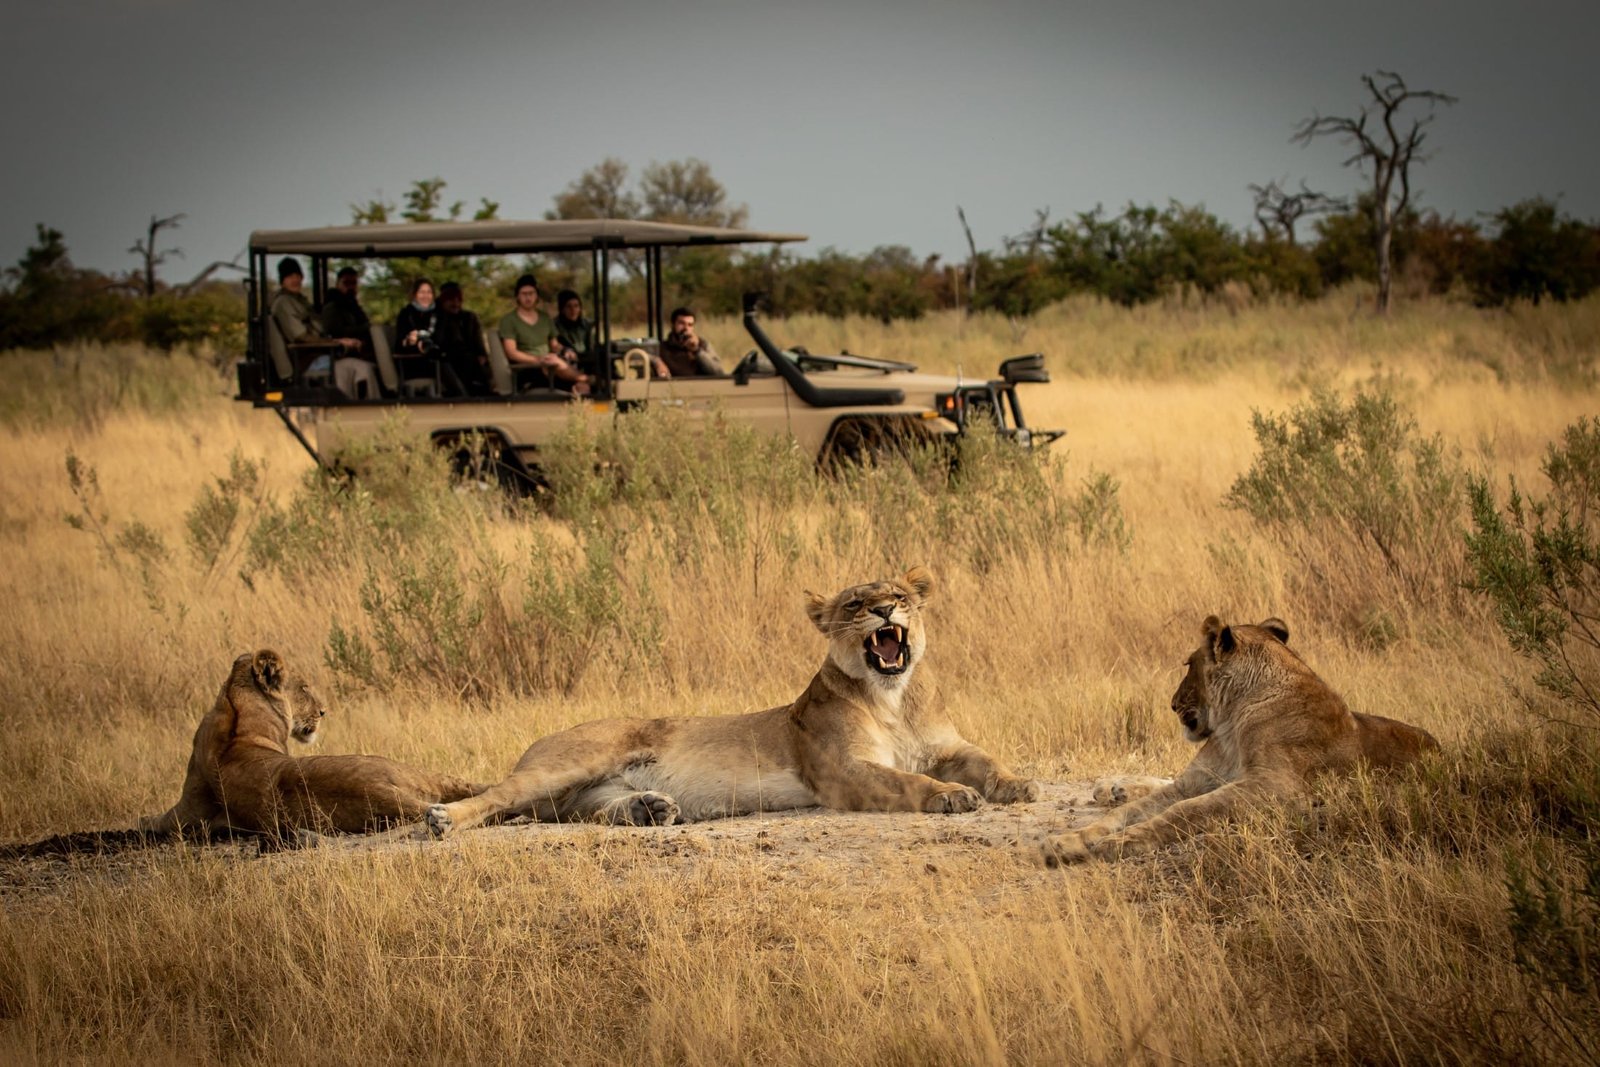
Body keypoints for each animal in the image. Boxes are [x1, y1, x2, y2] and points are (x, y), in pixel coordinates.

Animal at [141, 649, 483, 844]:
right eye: (305, 687)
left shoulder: (185, 812)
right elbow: (148, 821)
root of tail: (379, 791)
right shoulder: (183, 812)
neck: (236, 712)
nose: (323, 711)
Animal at [425, 566, 1037, 837]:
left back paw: (650, 810)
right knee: (498, 798)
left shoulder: (948, 745)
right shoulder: (843, 771)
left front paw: (1019, 785)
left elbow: (987, 761)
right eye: (855, 604)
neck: (893, 697)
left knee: (578, 811)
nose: (885, 611)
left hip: (586, 791)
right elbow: (908, 780)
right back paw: (442, 820)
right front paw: (952, 796)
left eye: (901, 596)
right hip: (568, 762)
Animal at [1042, 615, 1439, 866]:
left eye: (1189, 665)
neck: (1232, 721)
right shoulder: (1194, 781)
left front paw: (1118, 843)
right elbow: (1132, 811)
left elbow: (1185, 811)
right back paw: (1114, 787)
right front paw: (1068, 841)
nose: (1172, 704)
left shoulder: (1276, 786)